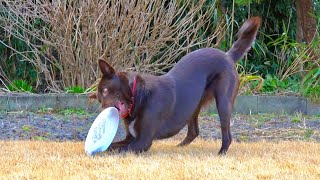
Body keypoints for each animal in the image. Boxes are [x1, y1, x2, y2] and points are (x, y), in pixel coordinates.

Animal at [89, 17, 260, 155]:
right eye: (99, 98)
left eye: (105, 90)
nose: (103, 111)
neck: (138, 95)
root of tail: (227, 56)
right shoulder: (130, 138)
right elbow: (112, 146)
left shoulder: (142, 141)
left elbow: (117, 151)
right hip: (193, 105)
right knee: (194, 131)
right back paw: (179, 147)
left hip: (223, 102)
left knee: (227, 134)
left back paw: (221, 152)